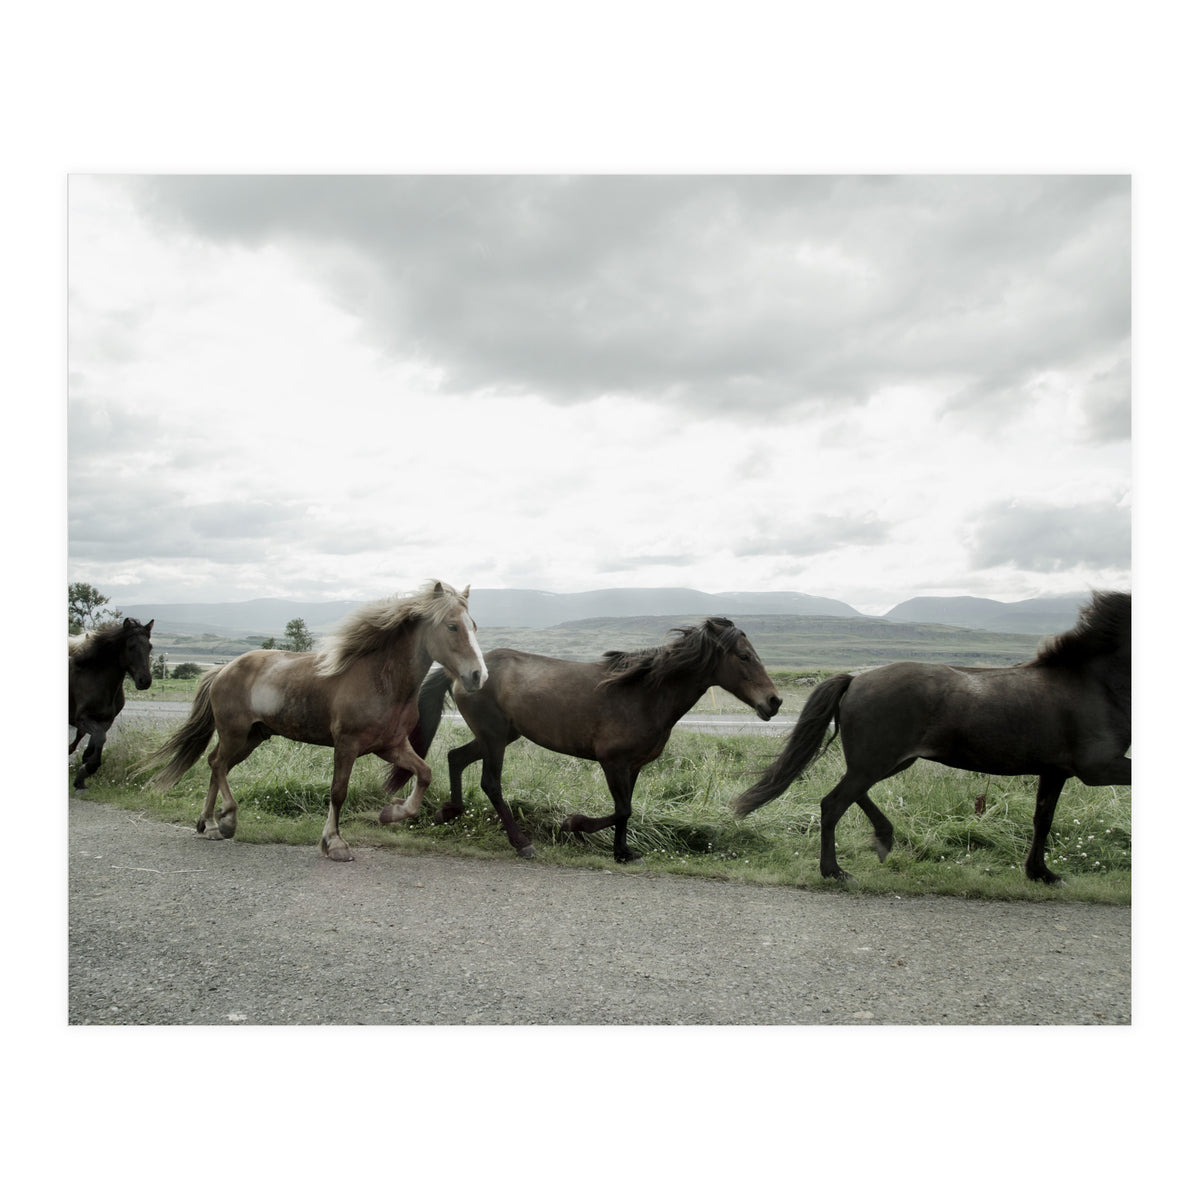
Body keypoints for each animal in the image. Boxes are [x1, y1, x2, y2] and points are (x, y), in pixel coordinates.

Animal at [69, 617, 155, 790]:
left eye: (149, 647)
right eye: (131, 646)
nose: (145, 681)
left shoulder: (106, 720)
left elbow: (97, 740)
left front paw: (83, 772)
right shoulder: (82, 718)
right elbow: (99, 738)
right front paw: (86, 770)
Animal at [138, 582, 486, 862]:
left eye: (474, 625)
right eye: (452, 626)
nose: (477, 676)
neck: (380, 680)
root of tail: (222, 669)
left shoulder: (391, 746)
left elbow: (424, 774)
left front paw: (391, 813)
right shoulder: (346, 745)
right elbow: (338, 792)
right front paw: (335, 844)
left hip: (252, 737)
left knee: (215, 764)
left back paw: (209, 823)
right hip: (235, 733)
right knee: (218, 765)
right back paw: (226, 821)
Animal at [392, 617, 782, 863]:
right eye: (744, 656)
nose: (774, 702)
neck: (643, 693)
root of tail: (463, 672)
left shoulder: (633, 767)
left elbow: (626, 810)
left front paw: (623, 853)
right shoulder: (613, 763)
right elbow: (622, 809)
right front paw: (574, 825)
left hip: (500, 736)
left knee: (455, 758)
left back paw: (449, 811)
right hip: (494, 739)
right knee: (490, 783)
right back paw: (521, 843)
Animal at [732, 590, 1131, 884]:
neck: (1091, 684)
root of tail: (857, 679)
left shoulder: (1055, 771)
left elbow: (1042, 820)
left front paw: (1041, 873)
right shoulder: (1098, 768)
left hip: (887, 761)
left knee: (851, 794)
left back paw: (883, 839)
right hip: (877, 761)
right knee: (834, 803)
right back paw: (835, 871)